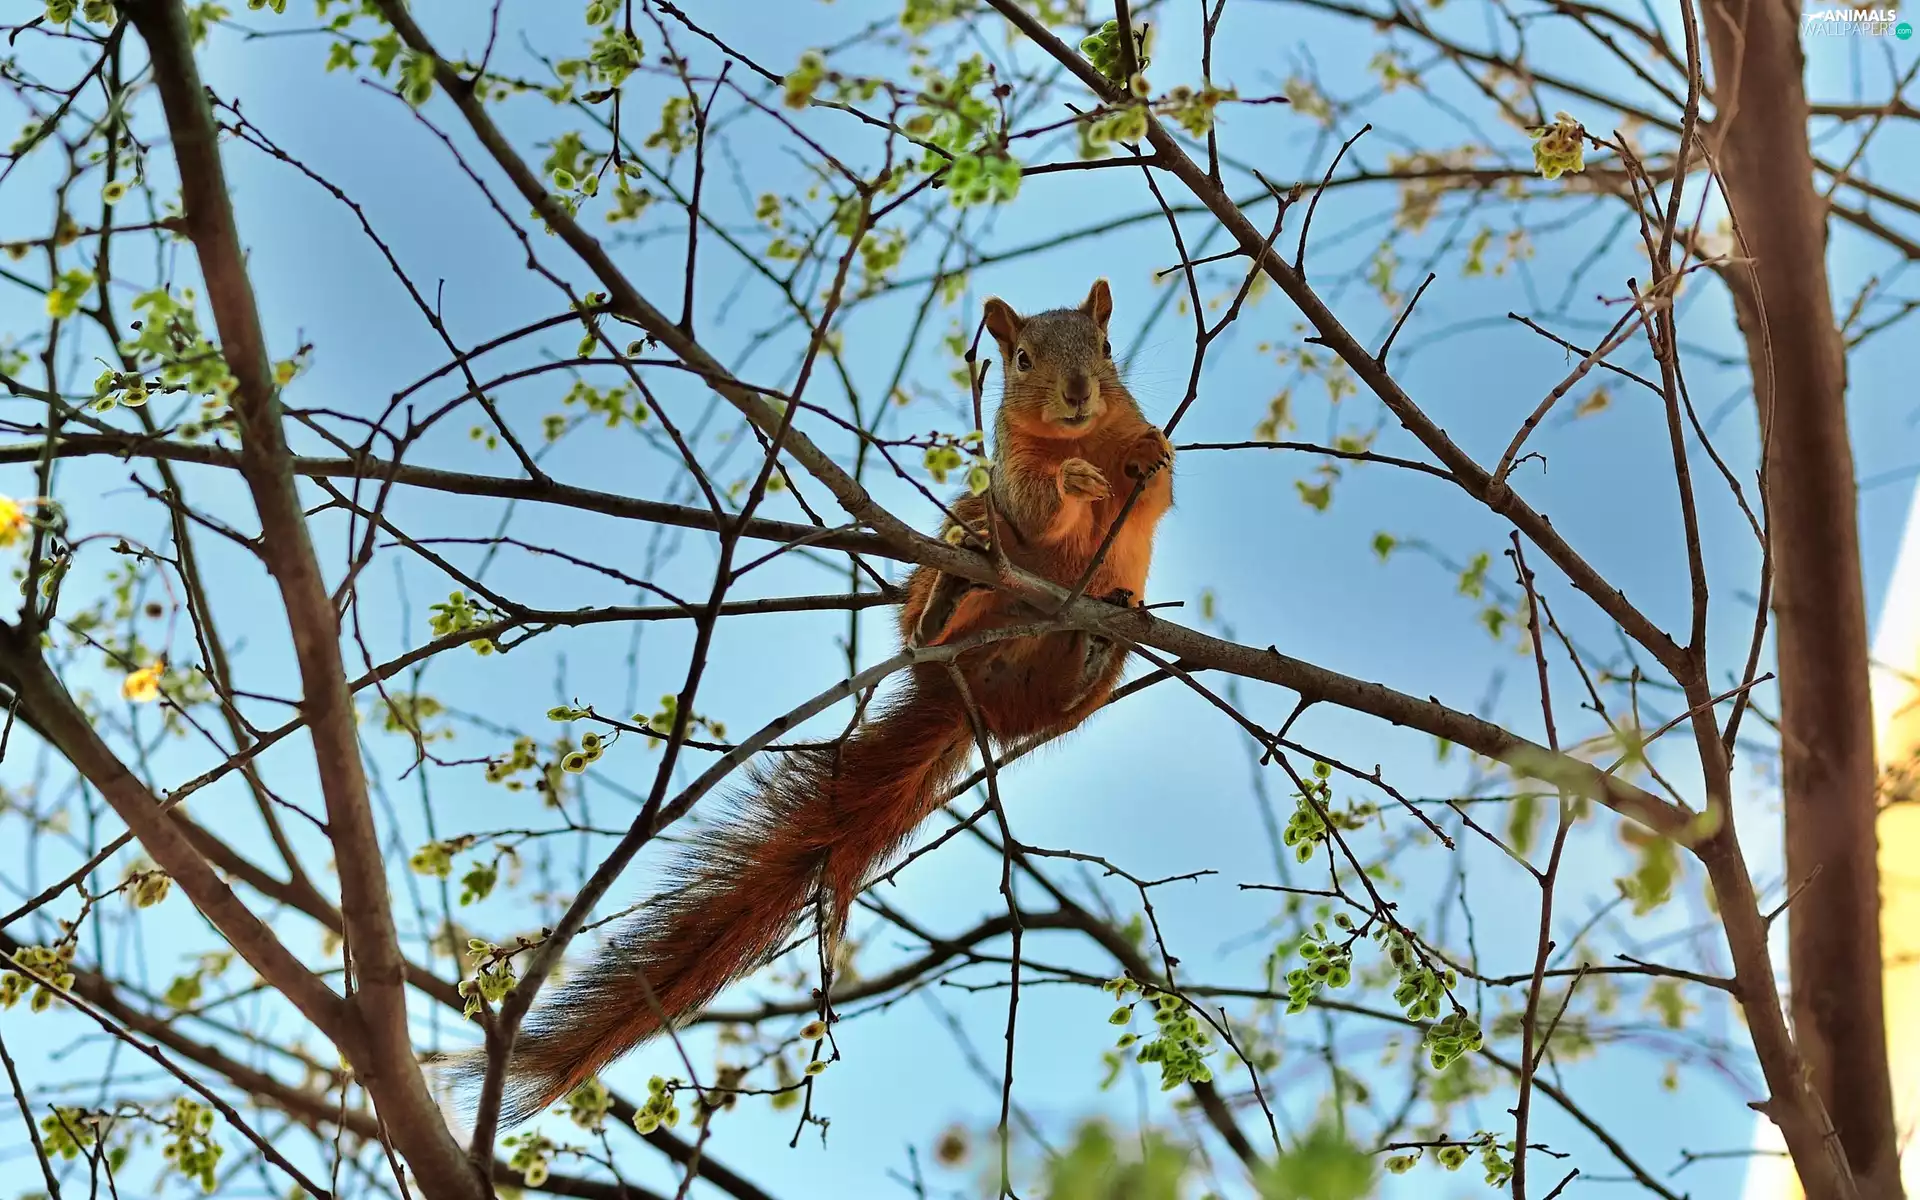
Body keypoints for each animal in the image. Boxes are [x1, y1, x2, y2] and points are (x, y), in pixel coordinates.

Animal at [465, 279, 1176, 1125]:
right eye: (1024, 360)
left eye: (1105, 349)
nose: (1076, 394)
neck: (1082, 438)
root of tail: (963, 688)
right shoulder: (1009, 473)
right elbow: (1036, 506)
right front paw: (1071, 483)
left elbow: (1153, 495)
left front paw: (1145, 455)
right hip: (961, 540)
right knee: (960, 559)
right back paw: (948, 596)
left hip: (1099, 660)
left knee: (1075, 684)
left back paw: (1088, 651)